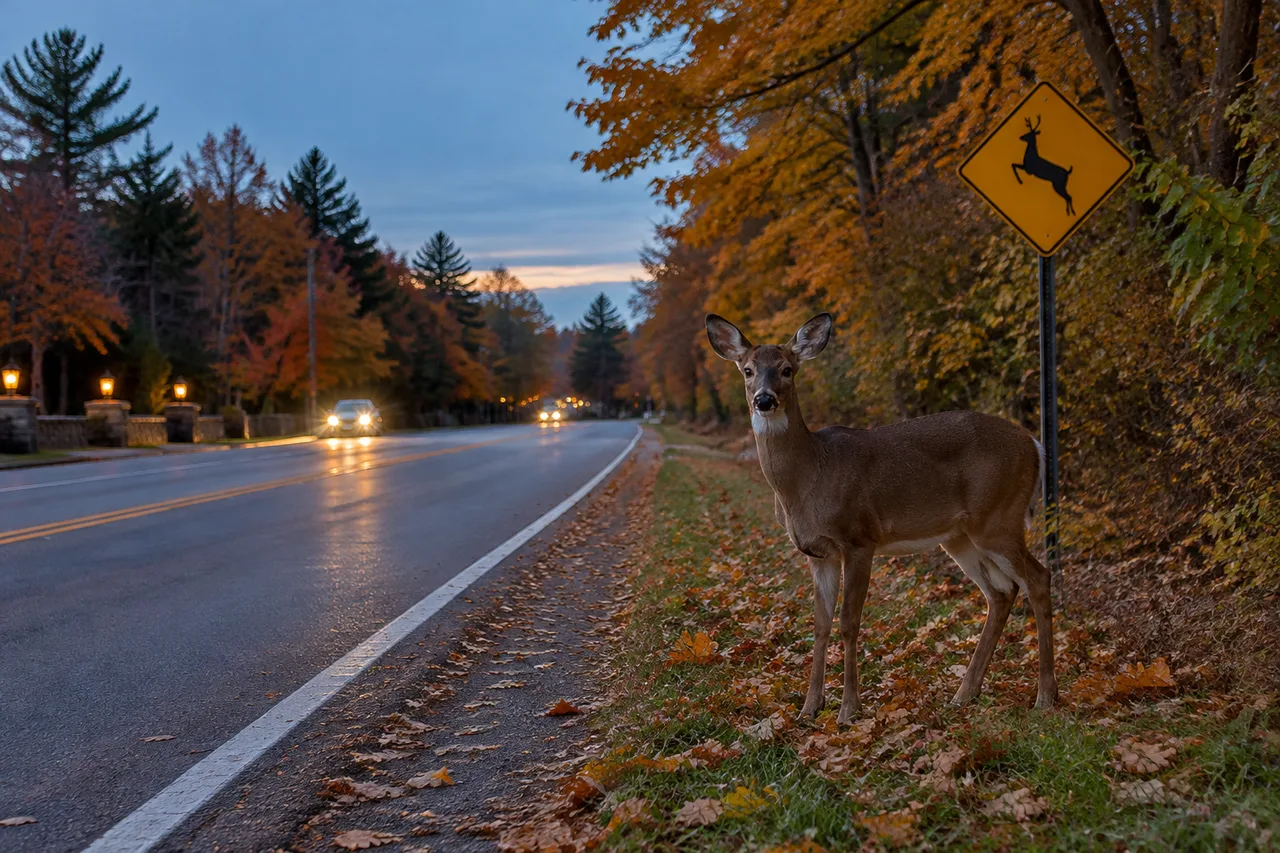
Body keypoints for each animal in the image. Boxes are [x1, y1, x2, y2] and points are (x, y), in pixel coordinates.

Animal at [705, 312, 1057, 726]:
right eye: (747, 370)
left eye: (787, 369)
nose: (764, 399)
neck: (807, 479)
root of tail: (1035, 444)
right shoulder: (817, 554)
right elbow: (820, 623)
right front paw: (809, 708)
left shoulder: (859, 538)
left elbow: (848, 621)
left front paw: (848, 709)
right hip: (960, 535)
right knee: (1002, 592)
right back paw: (964, 694)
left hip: (999, 517)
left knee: (1038, 578)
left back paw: (1045, 696)